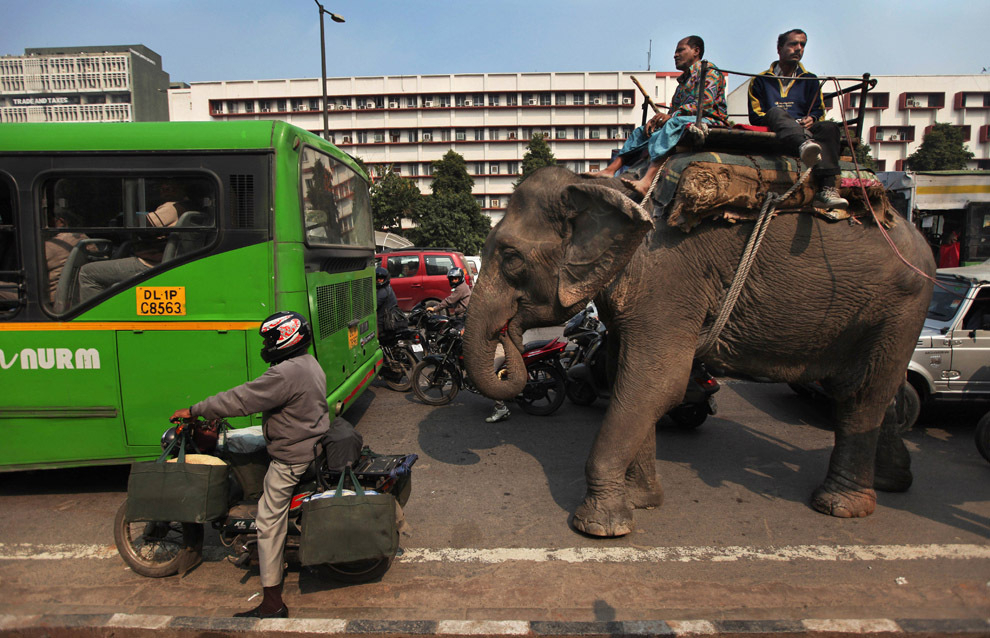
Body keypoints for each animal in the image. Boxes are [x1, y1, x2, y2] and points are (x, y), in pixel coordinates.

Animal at [464, 166, 936, 540]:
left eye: (511, 257)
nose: (509, 334)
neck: (603, 187)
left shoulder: (668, 281)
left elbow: (656, 384)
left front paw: (600, 527)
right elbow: (626, 377)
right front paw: (642, 501)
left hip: (901, 305)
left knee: (860, 394)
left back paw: (839, 505)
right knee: (881, 389)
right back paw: (893, 481)